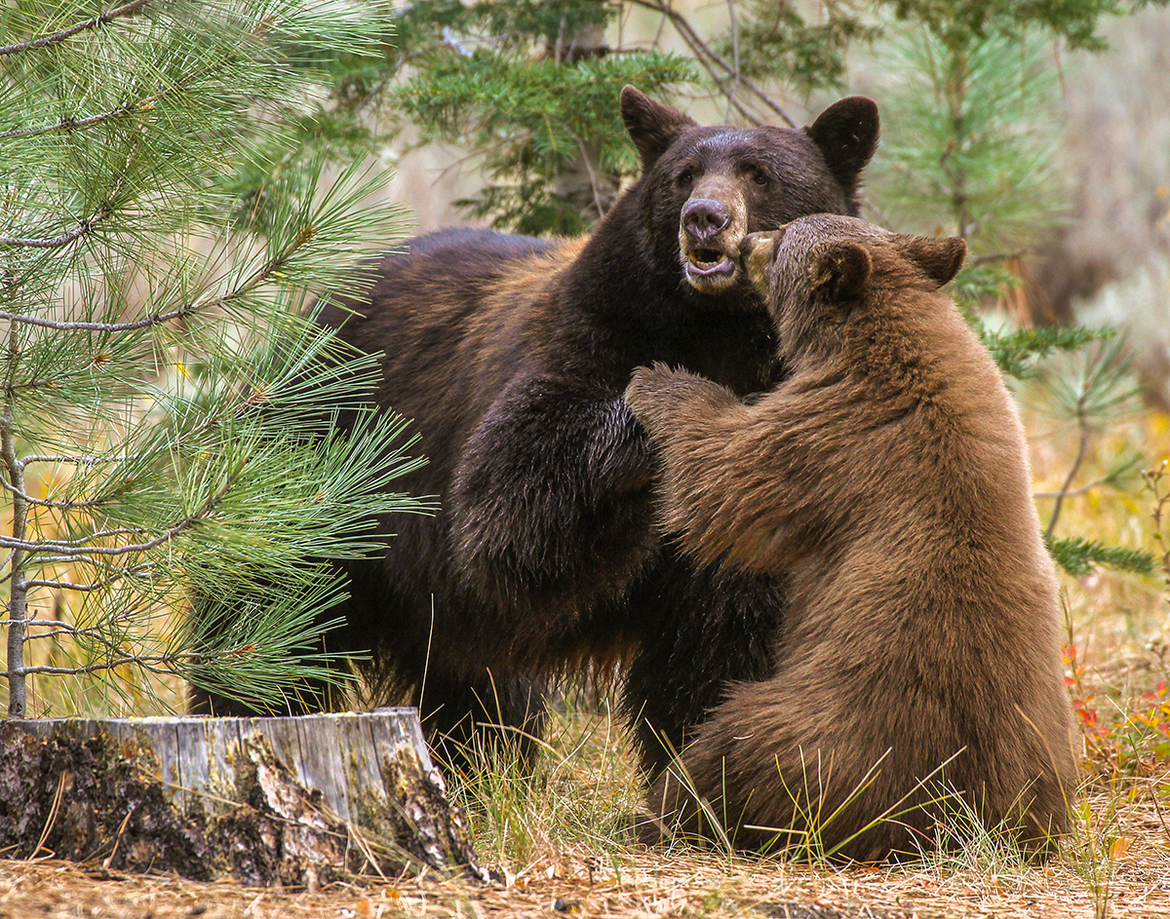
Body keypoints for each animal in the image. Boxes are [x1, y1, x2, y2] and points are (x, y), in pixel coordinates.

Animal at [189, 88, 881, 777]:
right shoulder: (585, 337)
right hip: (322, 463)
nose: (704, 218)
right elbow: (511, 506)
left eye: (759, 174)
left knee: (474, 685)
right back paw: (244, 711)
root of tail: (322, 302)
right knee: (276, 606)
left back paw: (479, 764)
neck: (718, 332)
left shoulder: (774, 480)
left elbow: (721, 637)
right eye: (683, 175)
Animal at [623, 214, 1077, 860]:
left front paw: (658, 381)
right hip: (1039, 748)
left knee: (733, 751)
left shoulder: (834, 429)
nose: (745, 239)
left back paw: (661, 811)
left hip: (828, 729)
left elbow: (723, 474)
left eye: (781, 237)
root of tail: (954, 819)